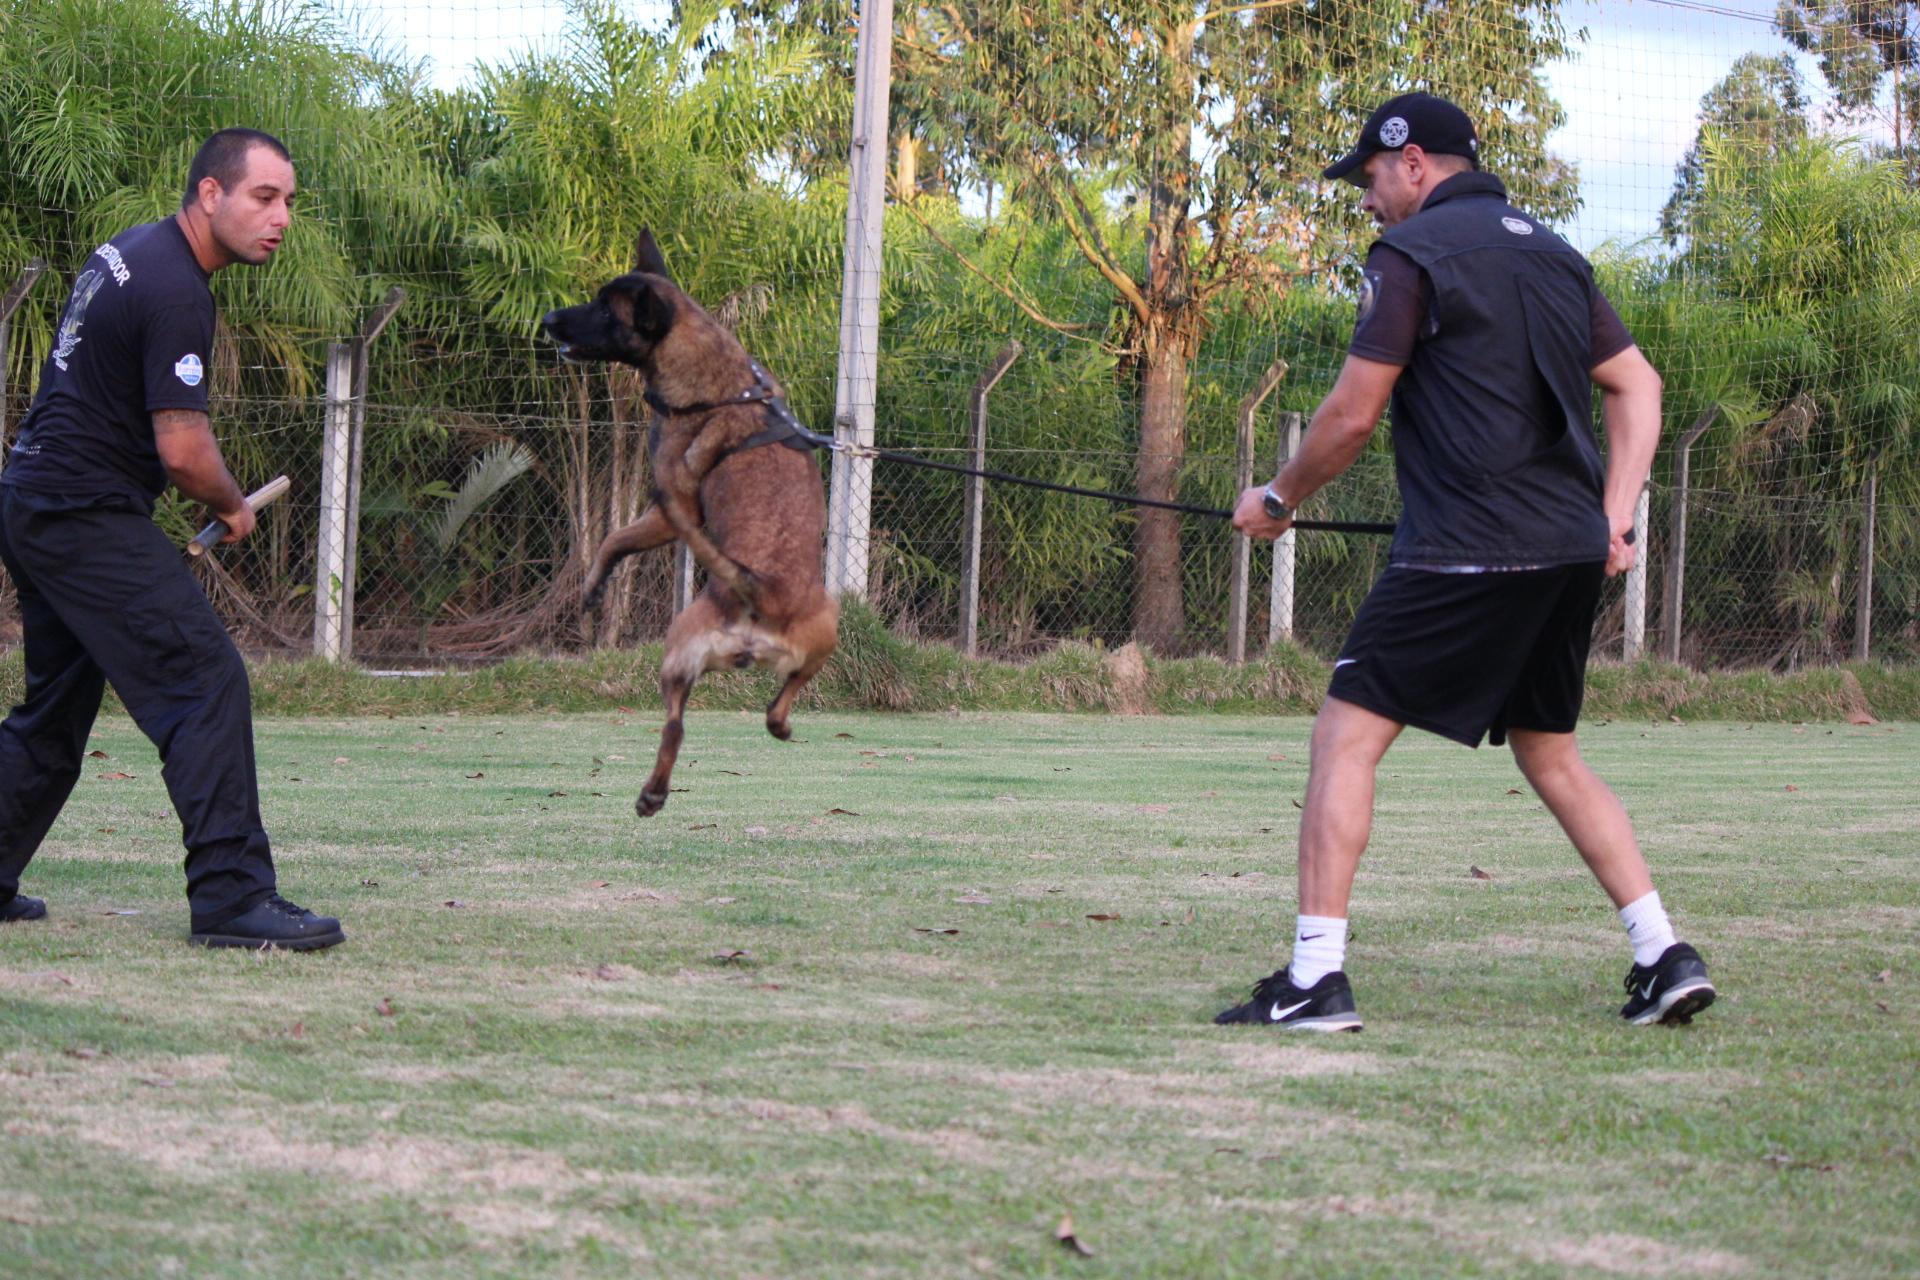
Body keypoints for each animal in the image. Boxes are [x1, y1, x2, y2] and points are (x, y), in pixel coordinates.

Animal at [545, 227, 837, 821]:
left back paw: (652, 795)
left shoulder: (668, 510)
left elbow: (612, 539)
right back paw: (776, 726)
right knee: (776, 703)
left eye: (604, 310)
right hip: (822, 633)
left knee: (674, 729)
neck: (720, 381)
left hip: (681, 644)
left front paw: (591, 591)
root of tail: (760, 593)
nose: (547, 319)